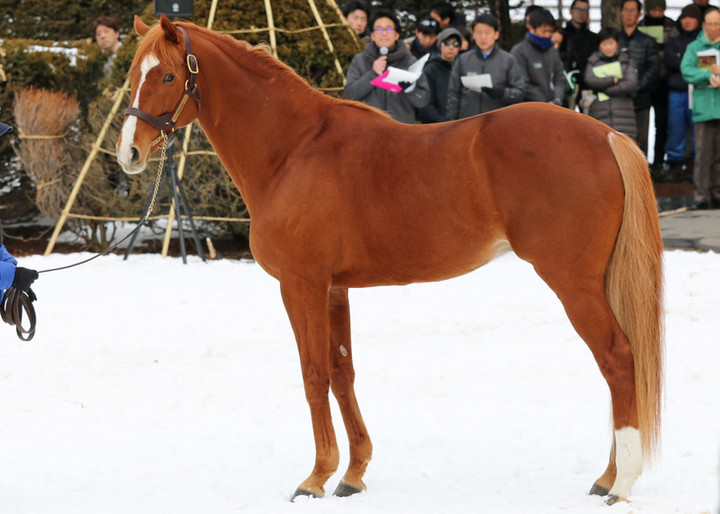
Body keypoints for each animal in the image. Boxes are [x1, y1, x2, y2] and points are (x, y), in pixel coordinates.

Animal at [116, 15, 664, 500]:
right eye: (131, 76)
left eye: (168, 75)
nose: (129, 155)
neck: (293, 150)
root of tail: (606, 135)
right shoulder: (334, 290)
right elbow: (342, 374)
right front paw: (353, 474)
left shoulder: (301, 285)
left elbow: (313, 375)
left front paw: (315, 477)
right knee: (620, 367)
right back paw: (607, 477)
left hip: (573, 282)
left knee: (617, 358)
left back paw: (623, 483)